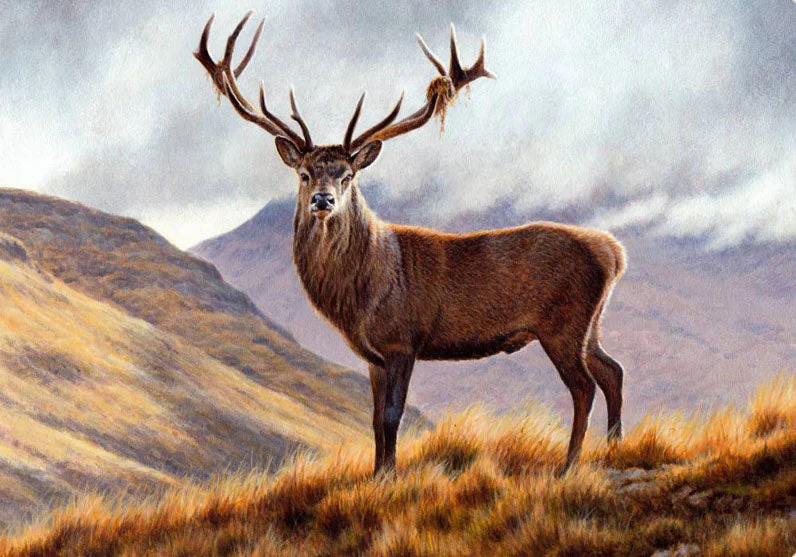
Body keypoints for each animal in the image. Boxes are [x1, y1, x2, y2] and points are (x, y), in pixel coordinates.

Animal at [195, 12, 627, 475]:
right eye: (305, 173)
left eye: (348, 175)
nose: (322, 200)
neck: (361, 293)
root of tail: (613, 252)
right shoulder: (373, 356)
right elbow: (372, 419)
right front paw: (376, 474)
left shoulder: (403, 340)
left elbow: (392, 415)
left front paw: (390, 475)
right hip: (591, 324)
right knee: (613, 371)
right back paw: (614, 448)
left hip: (563, 323)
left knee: (584, 386)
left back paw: (570, 465)